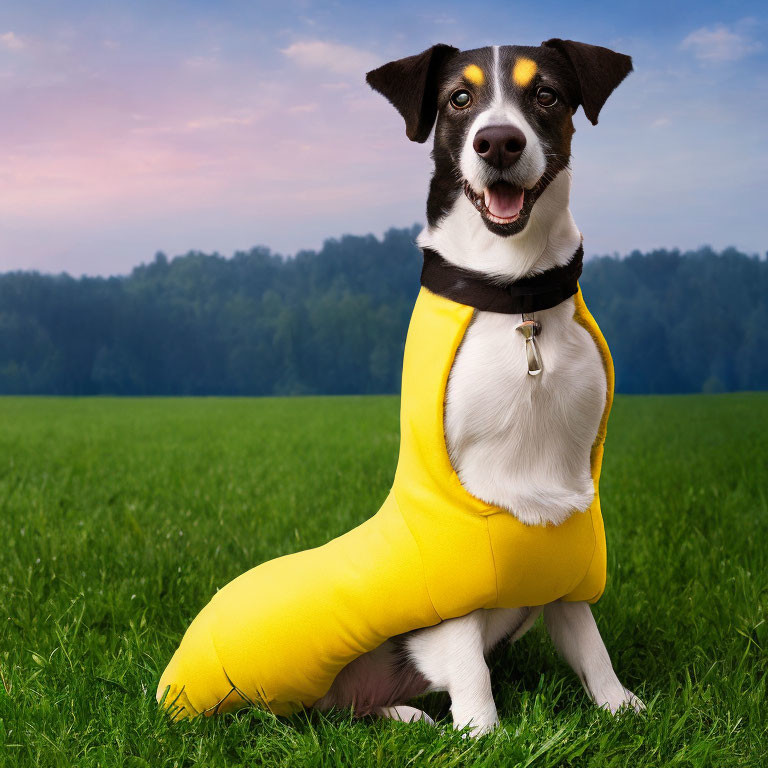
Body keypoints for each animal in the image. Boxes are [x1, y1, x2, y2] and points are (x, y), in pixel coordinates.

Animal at [312, 42, 640, 736]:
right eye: (459, 99)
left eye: (545, 94)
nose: (499, 142)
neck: (514, 292)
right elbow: (466, 652)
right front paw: (483, 733)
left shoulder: (568, 498)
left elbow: (588, 639)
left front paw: (622, 707)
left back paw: (403, 711)